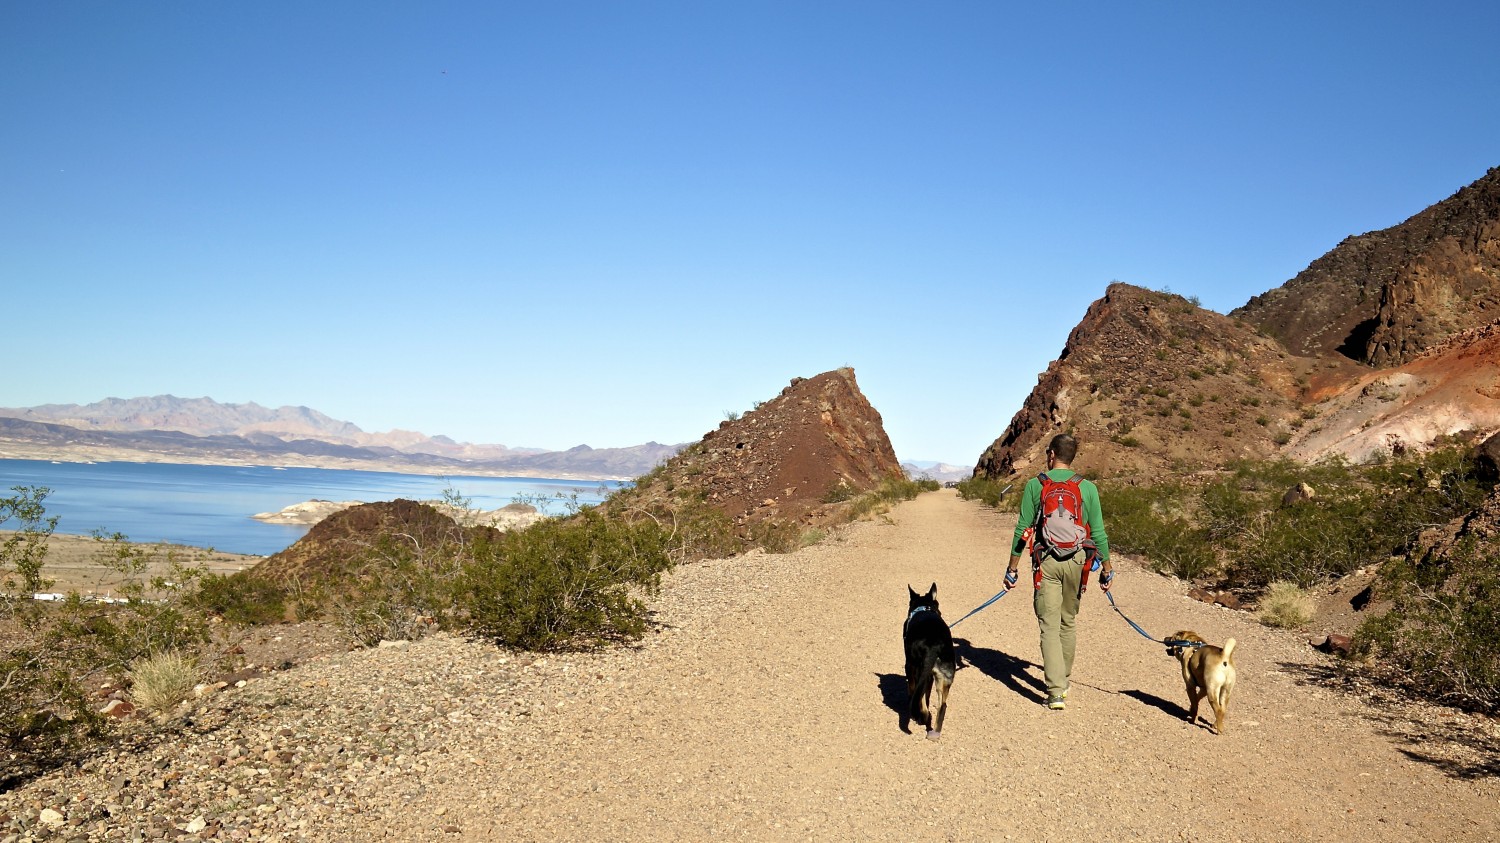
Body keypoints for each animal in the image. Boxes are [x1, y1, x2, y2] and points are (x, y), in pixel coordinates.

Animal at [906, 582, 954, 738]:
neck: (924, 607)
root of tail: (934, 645)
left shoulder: (909, 666)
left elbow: (913, 690)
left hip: (919, 669)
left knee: (919, 698)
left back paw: (923, 717)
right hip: (944, 676)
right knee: (942, 705)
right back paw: (935, 732)